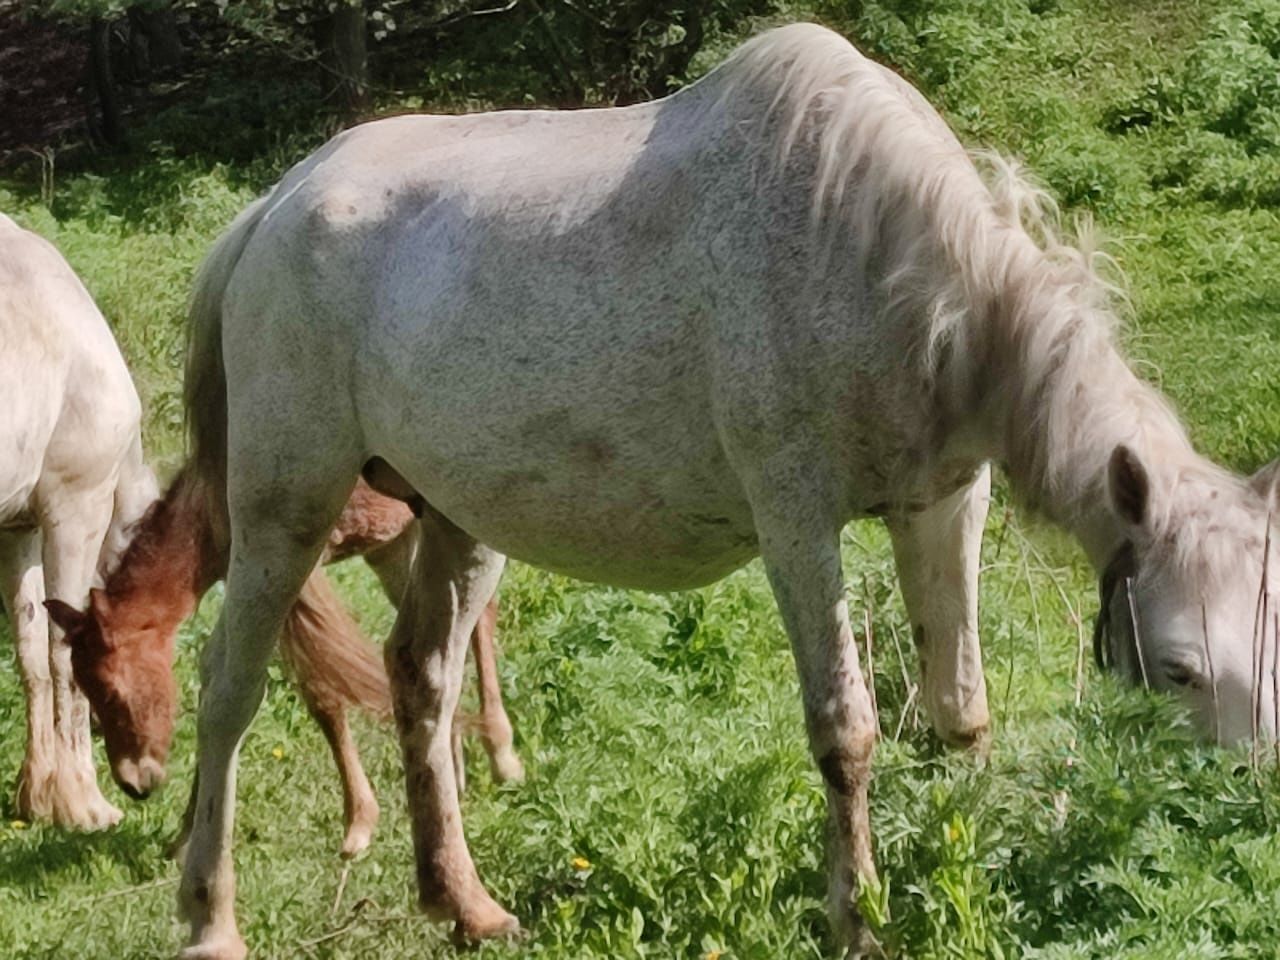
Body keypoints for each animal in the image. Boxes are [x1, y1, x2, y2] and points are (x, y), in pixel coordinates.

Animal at [0, 213, 157, 829]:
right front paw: (81, 800)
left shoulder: (19, 530)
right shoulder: (75, 511)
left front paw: (38, 790)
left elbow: (31, 656)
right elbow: (62, 655)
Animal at [46, 465, 519, 855]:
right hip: (392, 543)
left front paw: (359, 822)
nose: (132, 783)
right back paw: (454, 765)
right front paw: (186, 836)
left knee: (482, 617)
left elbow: (320, 692)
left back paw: (502, 754)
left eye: (110, 689)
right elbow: (220, 686)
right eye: (83, 687)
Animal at [177, 22, 1280, 960]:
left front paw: (963, 872)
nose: (1249, 814)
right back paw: (210, 919)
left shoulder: (941, 507)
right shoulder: (797, 525)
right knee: (232, 689)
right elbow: (846, 732)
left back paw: (467, 905)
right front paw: (855, 920)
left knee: (422, 678)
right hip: (286, 508)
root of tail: (274, 208)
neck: (877, 259)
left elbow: (959, 709)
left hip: (458, 519)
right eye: (1178, 669)